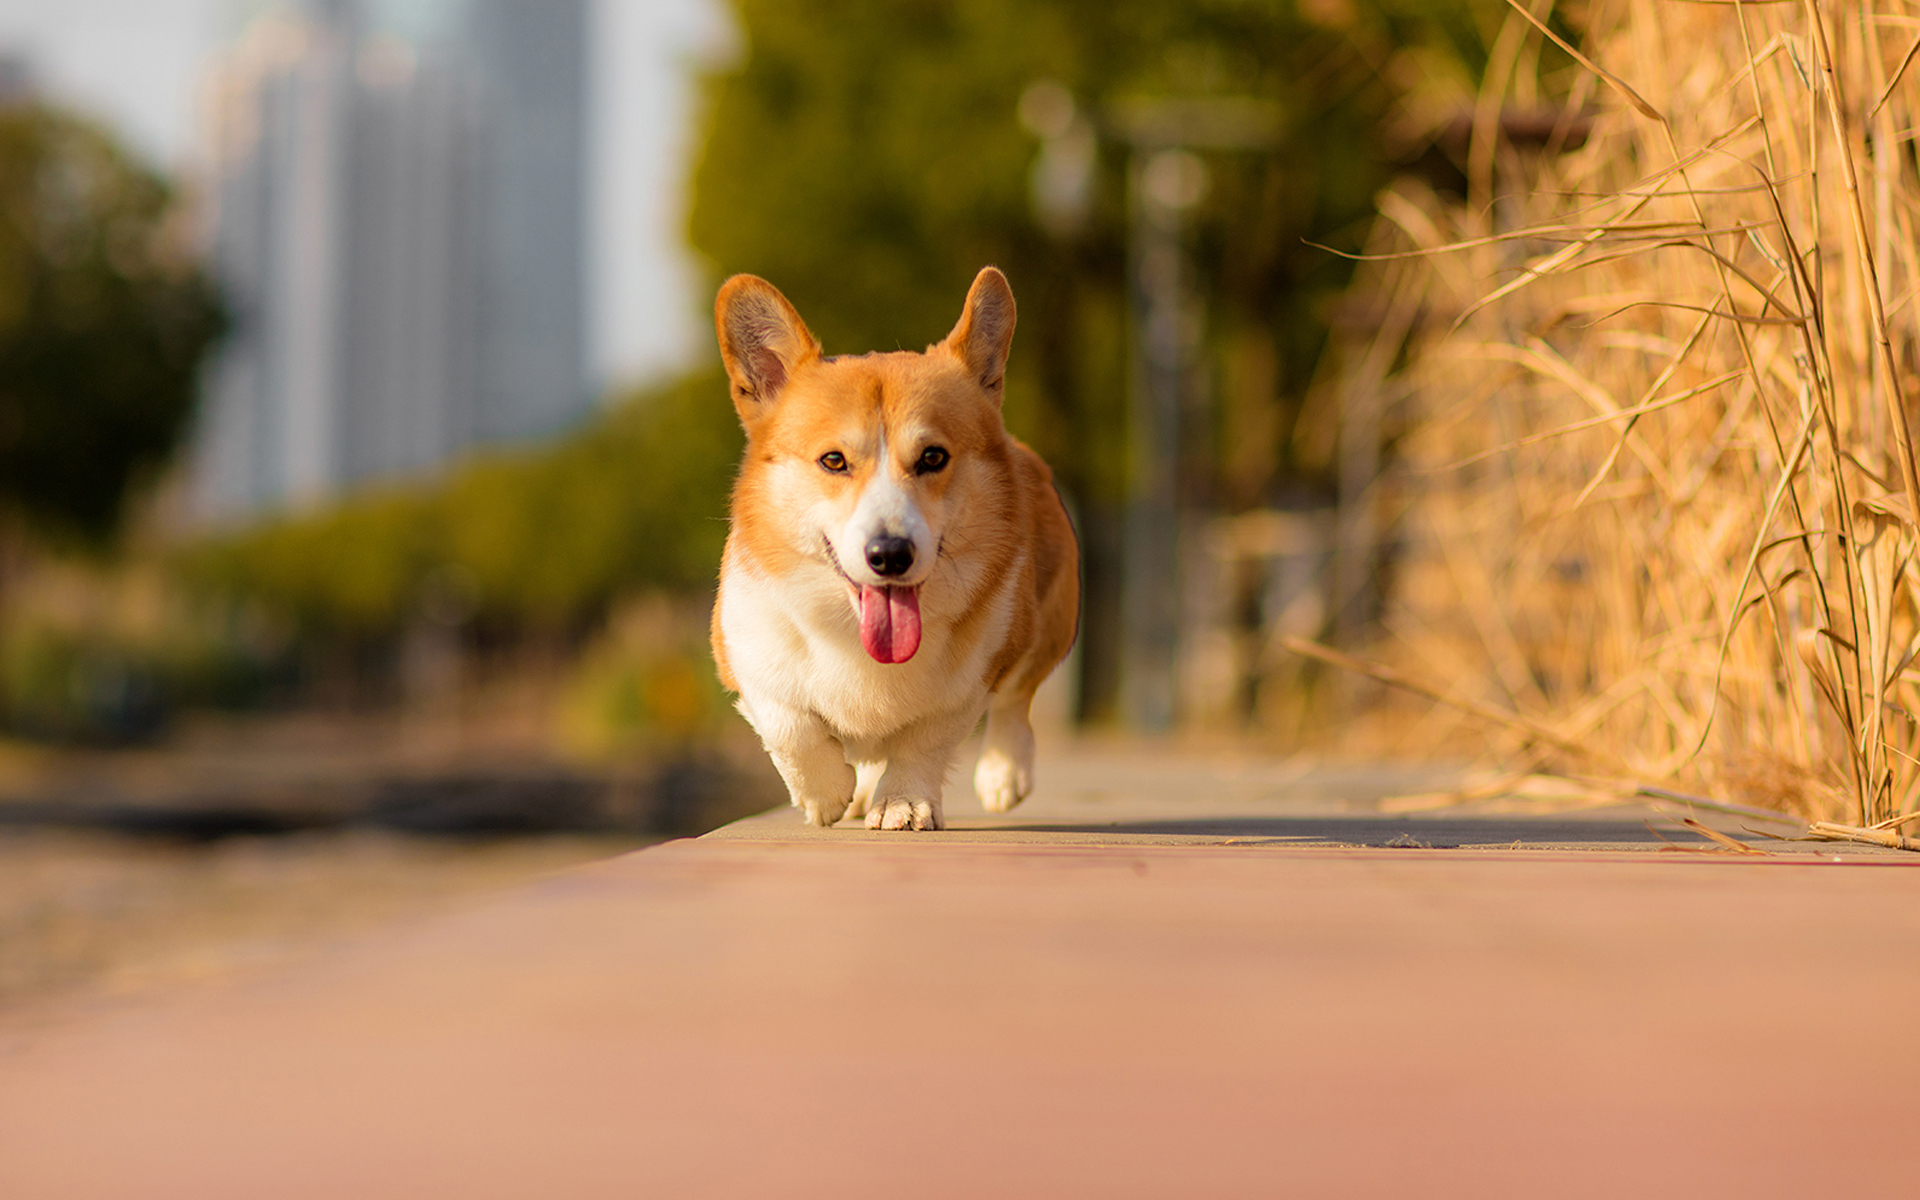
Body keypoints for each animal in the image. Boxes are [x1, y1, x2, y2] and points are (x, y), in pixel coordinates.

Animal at [710, 263, 1082, 829]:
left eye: (933, 457)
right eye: (833, 461)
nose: (890, 555)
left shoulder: (969, 680)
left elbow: (923, 740)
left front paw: (904, 802)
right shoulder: (746, 656)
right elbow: (790, 724)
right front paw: (826, 794)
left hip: (1046, 623)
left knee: (1016, 698)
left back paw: (1003, 772)